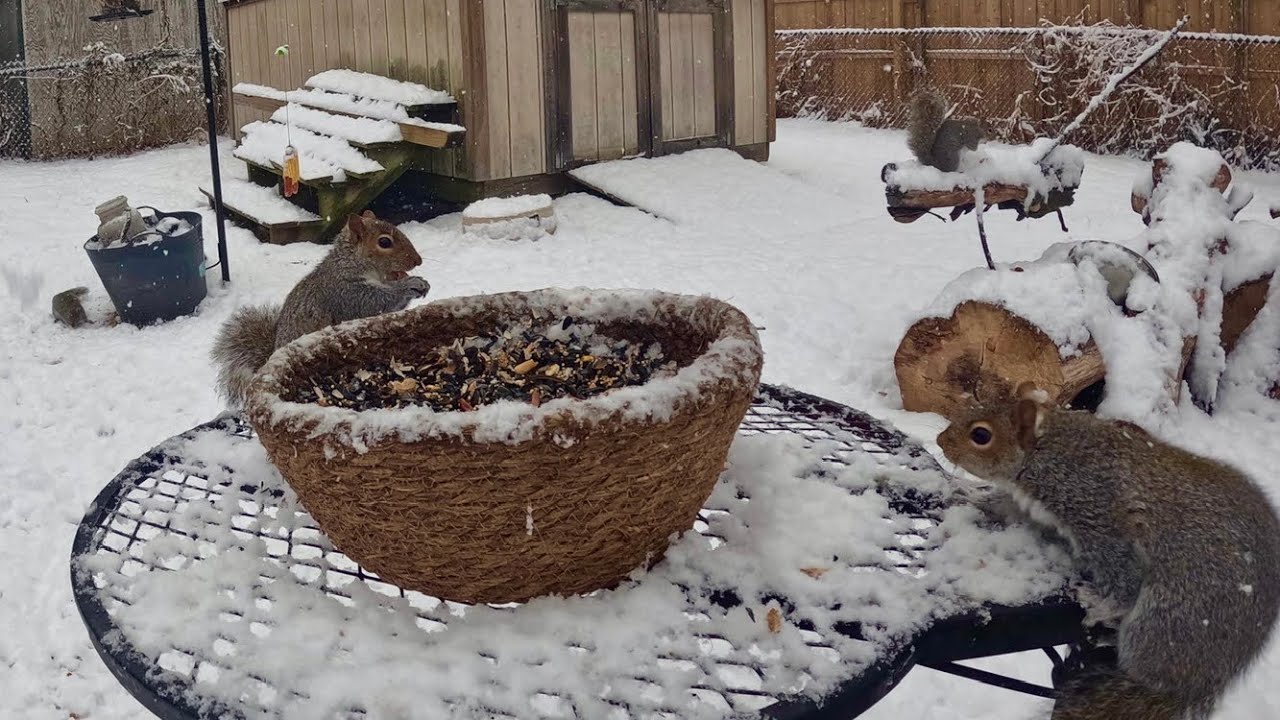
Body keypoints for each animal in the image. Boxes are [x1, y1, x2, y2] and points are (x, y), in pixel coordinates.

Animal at [210, 211, 430, 407]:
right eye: (384, 242)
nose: (418, 260)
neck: (350, 263)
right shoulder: (344, 293)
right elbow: (373, 302)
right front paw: (410, 284)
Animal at [936, 383, 1280, 720]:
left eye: (981, 435)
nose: (940, 442)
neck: (1050, 449)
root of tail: (1192, 687)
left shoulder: (1100, 517)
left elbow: (1122, 576)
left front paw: (1100, 602)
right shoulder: (1032, 507)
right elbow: (1005, 508)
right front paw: (968, 493)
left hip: (1170, 617)